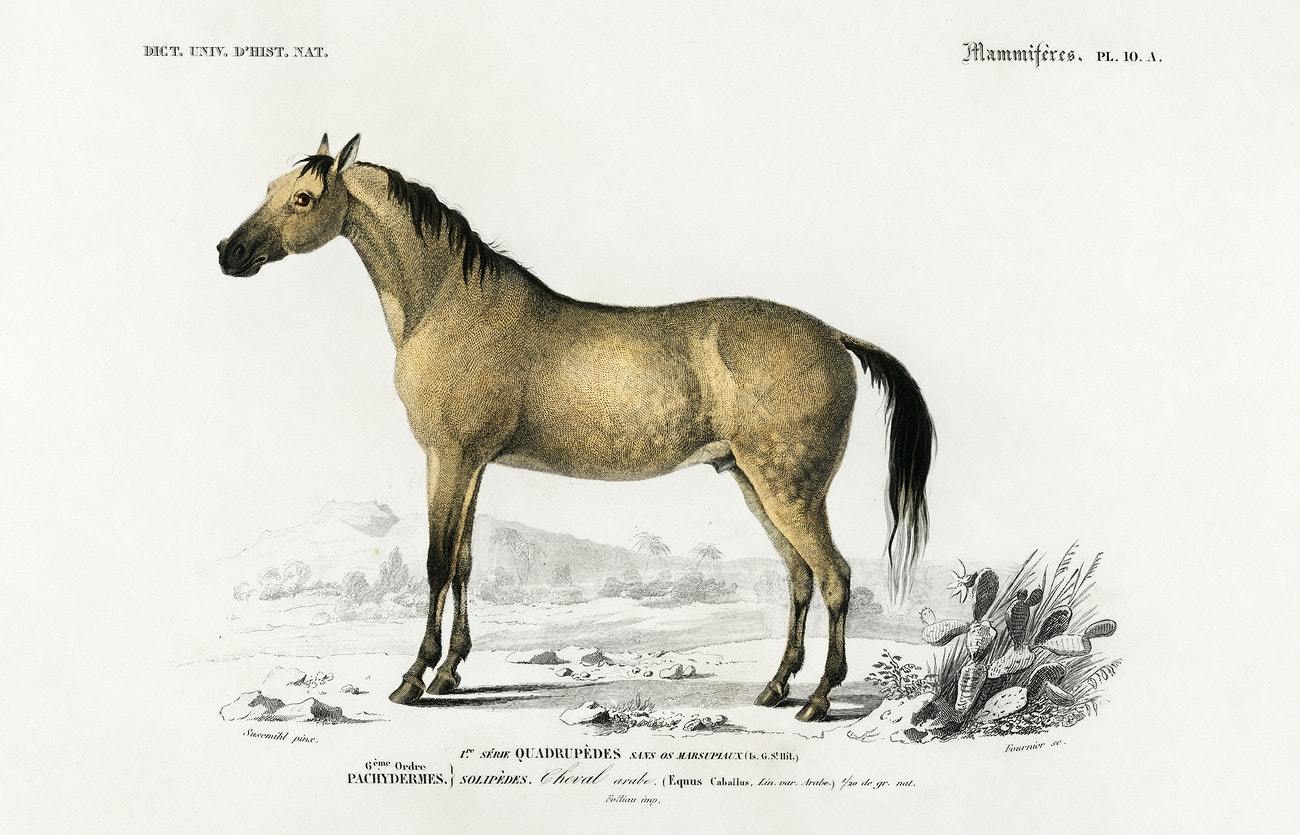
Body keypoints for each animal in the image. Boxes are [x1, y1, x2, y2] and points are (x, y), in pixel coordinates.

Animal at [217, 134, 935, 721]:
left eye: (304, 197)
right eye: (270, 188)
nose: (228, 253)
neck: (450, 303)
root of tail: (833, 335)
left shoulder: (447, 457)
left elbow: (436, 562)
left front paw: (414, 678)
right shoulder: (473, 465)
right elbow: (466, 563)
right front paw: (451, 672)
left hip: (790, 489)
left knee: (835, 576)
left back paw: (819, 698)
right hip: (755, 483)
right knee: (800, 577)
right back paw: (777, 687)